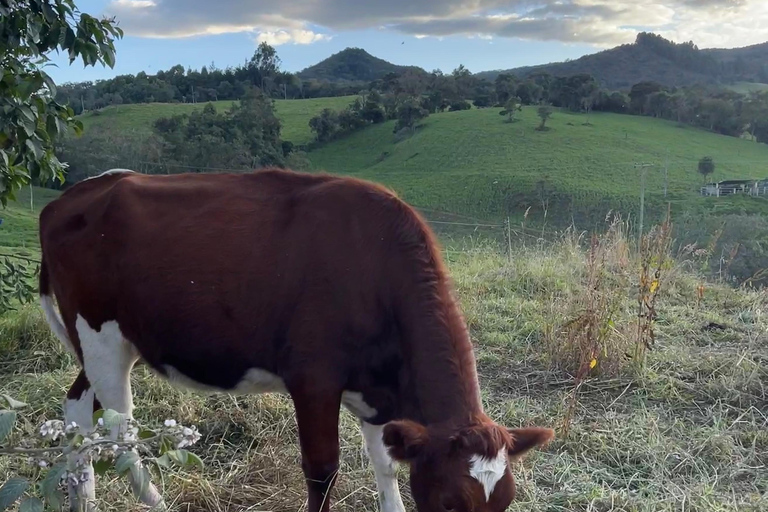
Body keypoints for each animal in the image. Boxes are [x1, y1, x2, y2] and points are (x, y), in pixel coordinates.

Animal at [39, 169, 552, 512]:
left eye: (504, 503)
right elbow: (322, 472)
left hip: (108, 343)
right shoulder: (314, 380)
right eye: (449, 503)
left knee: (77, 410)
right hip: (100, 337)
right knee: (120, 435)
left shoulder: (377, 390)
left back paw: (83, 498)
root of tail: (71, 196)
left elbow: (386, 464)